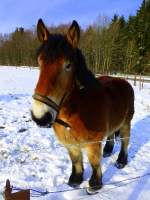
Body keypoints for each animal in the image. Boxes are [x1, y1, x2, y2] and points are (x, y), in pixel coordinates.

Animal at [31, 18, 134, 194]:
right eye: (39, 63)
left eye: (68, 65)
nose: (40, 116)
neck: (77, 111)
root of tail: (123, 81)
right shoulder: (69, 143)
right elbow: (76, 160)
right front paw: (75, 180)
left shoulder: (92, 144)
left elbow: (94, 163)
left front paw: (95, 184)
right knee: (111, 134)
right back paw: (108, 150)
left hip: (126, 122)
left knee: (125, 141)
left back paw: (121, 161)